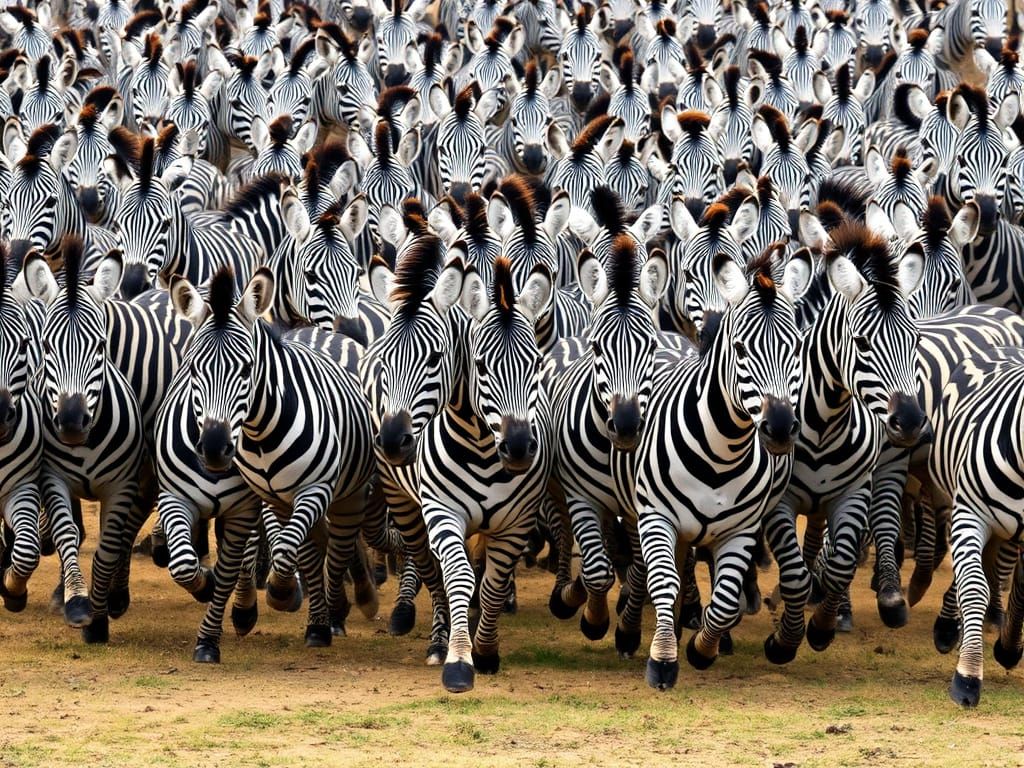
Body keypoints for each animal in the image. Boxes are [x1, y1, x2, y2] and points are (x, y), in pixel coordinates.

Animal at [618, 247, 811, 689]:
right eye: (740, 349)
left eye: (796, 349)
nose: (779, 428)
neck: (723, 452)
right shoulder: (657, 516)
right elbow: (664, 581)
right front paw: (663, 660)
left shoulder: (741, 530)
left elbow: (723, 601)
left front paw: (702, 647)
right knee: (654, 570)